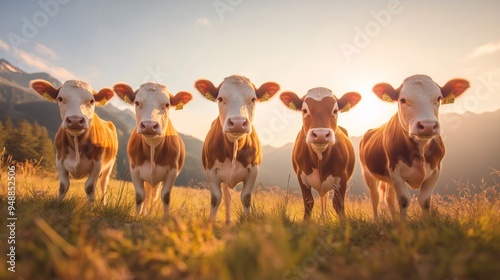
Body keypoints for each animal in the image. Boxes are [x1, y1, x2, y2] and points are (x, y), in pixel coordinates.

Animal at [113, 82, 191, 215]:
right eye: (137, 102)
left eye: (167, 104)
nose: (149, 126)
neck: (152, 146)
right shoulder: (134, 169)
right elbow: (140, 196)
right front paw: (137, 215)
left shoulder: (172, 170)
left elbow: (165, 196)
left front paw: (166, 217)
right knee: (148, 193)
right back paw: (144, 213)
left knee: (154, 196)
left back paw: (150, 214)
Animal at [195, 74, 282, 223]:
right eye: (220, 98)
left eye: (253, 99)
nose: (237, 122)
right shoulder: (211, 171)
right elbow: (215, 199)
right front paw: (211, 223)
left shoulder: (253, 171)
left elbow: (246, 198)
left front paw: (247, 222)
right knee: (227, 197)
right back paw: (228, 221)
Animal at [280, 87, 362, 219]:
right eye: (304, 110)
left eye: (335, 110)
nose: (321, 134)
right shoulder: (301, 177)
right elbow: (308, 202)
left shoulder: (342, 177)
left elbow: (338, 204)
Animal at [360, 75, 468, 219]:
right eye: (402, 100)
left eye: (439, 98)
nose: (427, 125)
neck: (420, 149)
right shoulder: (395, 171)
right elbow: (404, 200)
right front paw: (404, 225)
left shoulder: (436, 170)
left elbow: (425, 201)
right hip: (368, 173)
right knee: (375, 197)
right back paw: (377, 220)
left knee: (389, 198)